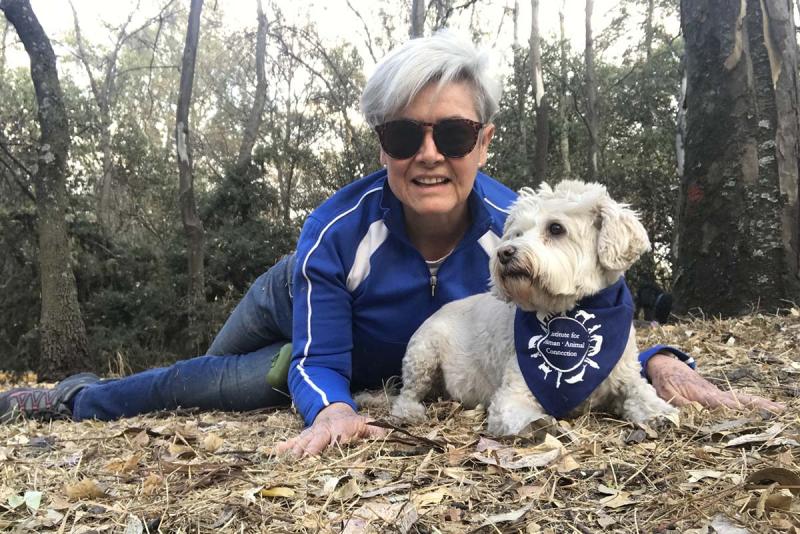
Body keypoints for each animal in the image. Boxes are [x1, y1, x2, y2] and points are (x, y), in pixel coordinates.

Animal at [390, 182, 680, 438]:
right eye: (517, 234)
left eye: (556, 228)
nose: (505, 253)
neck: (567, 313)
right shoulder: (514, 392)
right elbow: (521, 414)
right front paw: (540, 424)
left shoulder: (626, 375)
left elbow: (642, 393)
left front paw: (659, 411)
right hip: (423, 354)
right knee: (407, 394)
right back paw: (409, 411)